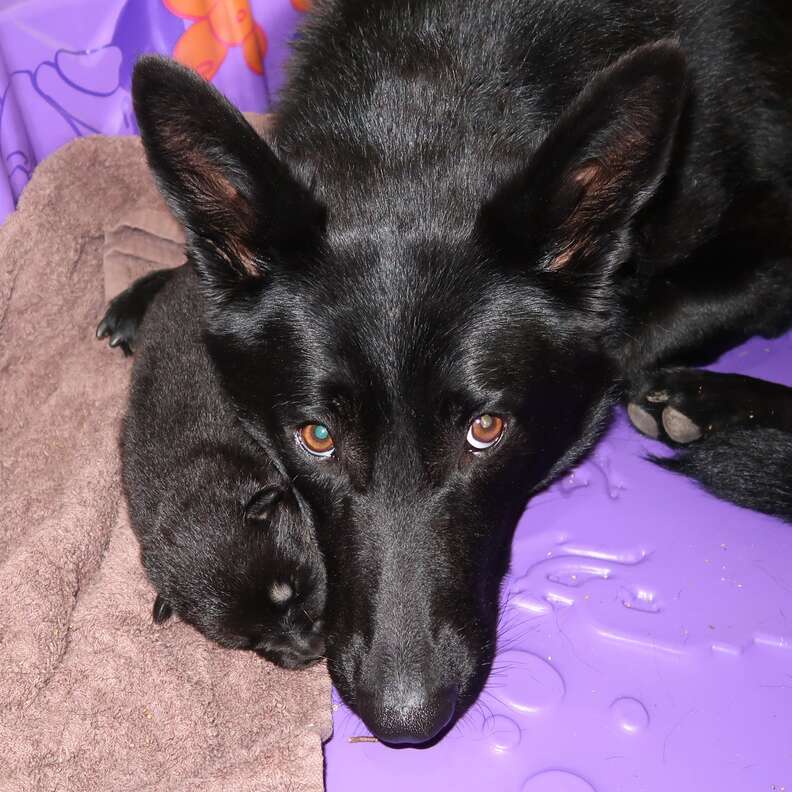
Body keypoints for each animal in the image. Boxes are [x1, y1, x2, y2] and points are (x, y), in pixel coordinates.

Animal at [128, 0, 792, 744]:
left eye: (487, 429)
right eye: (317, 437)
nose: (404, 722)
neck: (429, 95)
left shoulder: (770, 262)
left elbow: (625, 345)